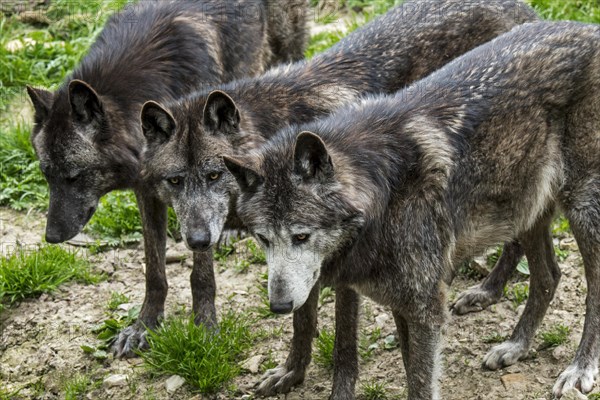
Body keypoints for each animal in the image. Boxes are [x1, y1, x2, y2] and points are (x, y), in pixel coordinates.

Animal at [25, 0, 308, 358]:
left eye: (74, 176)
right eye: (46, 174)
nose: (51, 237)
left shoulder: (199, 197)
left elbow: (201, 274)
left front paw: (204, 327)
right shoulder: (148, 192)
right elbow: (154, 271)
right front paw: (144, 326)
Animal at [224, 21, 600, 400]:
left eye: (301, 236)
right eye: (263, 239)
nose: (279, 307)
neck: (383, 198)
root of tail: (589, 28)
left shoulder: (424, 311)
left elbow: (419, 382)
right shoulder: (400, 304)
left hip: (581, 209)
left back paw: (580, 368)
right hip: (526, 210)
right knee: (549, 276)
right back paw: (516, 346)